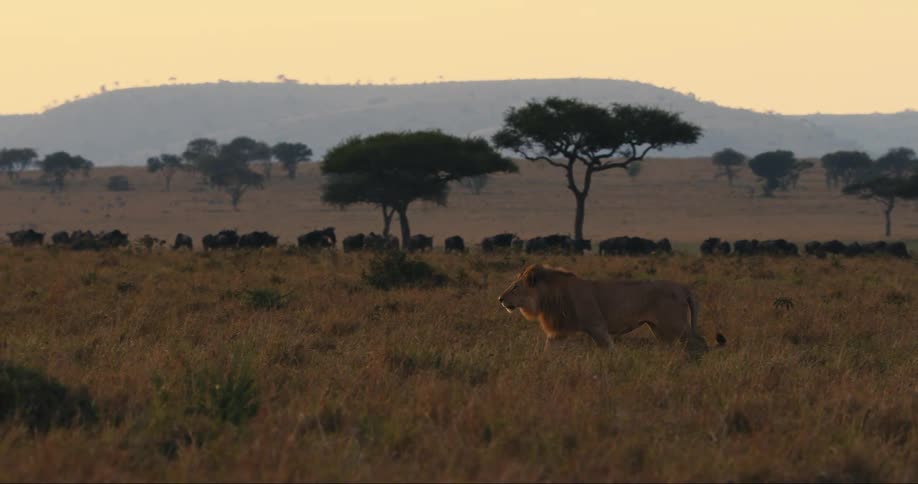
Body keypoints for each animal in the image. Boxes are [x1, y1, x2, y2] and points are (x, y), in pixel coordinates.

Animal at [498, 264, 725, 351]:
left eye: (515, 287)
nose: (500, 298)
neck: (549, 297)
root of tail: (683, 287)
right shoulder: (558, 332)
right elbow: (549, 350)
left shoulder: (596, 325)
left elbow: (608, 348)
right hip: (660, 329)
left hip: (675, 325)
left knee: (700, 343)